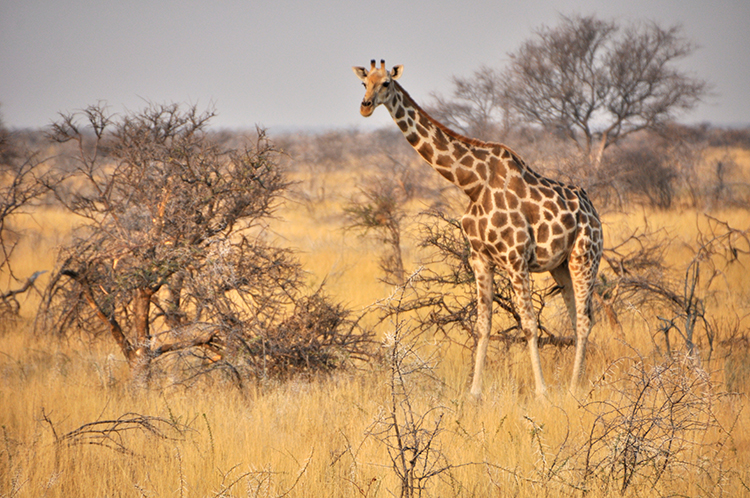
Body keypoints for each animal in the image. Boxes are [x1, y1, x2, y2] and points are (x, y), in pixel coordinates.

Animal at [354, 61, 604, 396]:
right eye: (364, 82)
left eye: (386, 83)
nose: (365, 106)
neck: (472, 184)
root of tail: (592, 210)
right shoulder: (480, 258)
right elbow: (483, 325)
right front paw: (474, 392)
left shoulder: (515, 259)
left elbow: (528, 325)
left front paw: (541, 392)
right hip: (560, 266)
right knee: (578, 317)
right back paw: (575, 381)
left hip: (585, 257)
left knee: (586, 319)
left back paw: (575, 386)